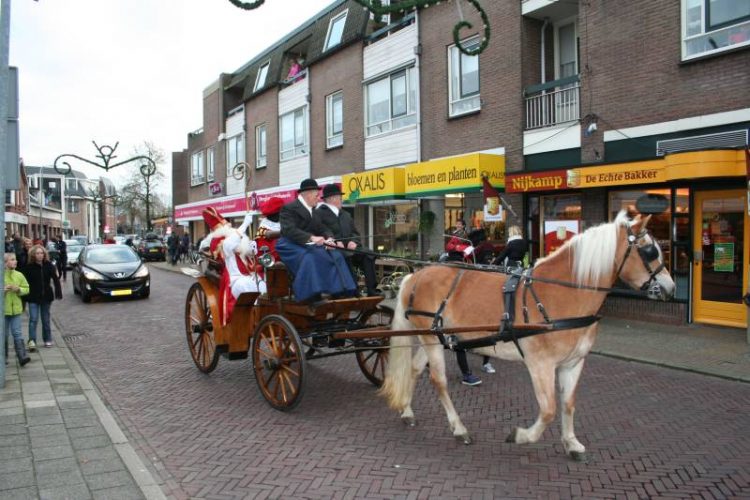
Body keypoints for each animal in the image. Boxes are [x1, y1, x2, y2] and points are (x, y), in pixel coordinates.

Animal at [378, 213, 680, 458]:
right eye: (649, 251)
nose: (671, 287)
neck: (560, 293)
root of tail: (416, 276)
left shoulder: (573, 363)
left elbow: (568, 404)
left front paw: (571, 443)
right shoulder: (540, 364)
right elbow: (548, 410)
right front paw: (521, 435)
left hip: (434, 338)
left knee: (414, 369)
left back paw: (407, 411)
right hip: (432, 340)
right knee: (438, 380)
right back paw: (459, 428)